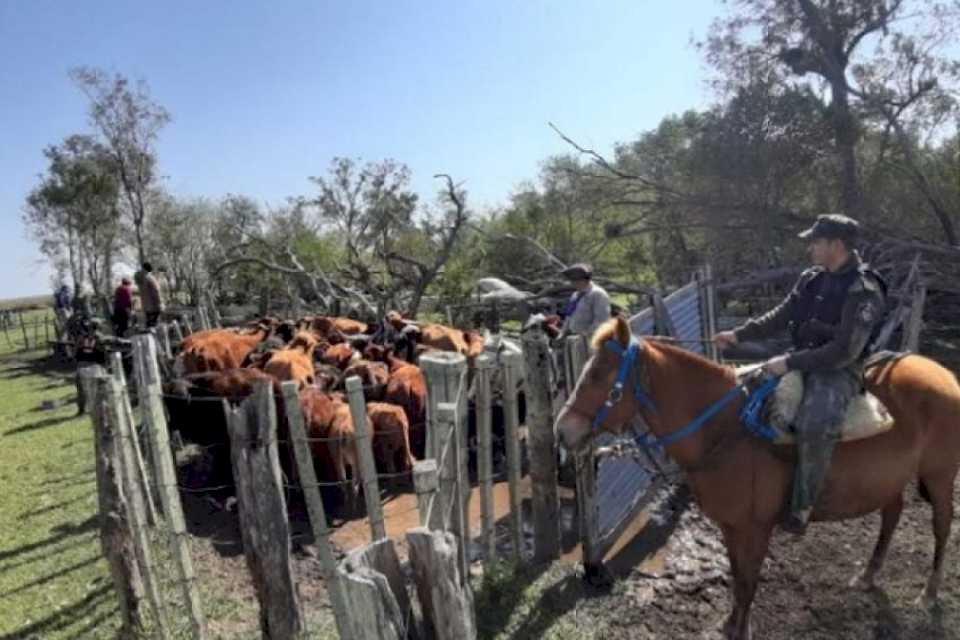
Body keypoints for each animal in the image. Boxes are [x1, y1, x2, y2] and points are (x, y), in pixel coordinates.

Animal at [552, 318, 960, 640]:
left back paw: (929, 592)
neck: (724, 427)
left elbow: (748, 579)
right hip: (892, 478)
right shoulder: (731, 526)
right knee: (892, 514)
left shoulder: (756, 528)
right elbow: (736, 575)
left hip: (939, 475)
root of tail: (944, 375)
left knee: (941, 526)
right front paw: (730, 623)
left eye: (599, 375)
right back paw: (869, 575)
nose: (563, 430)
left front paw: (741, 628)